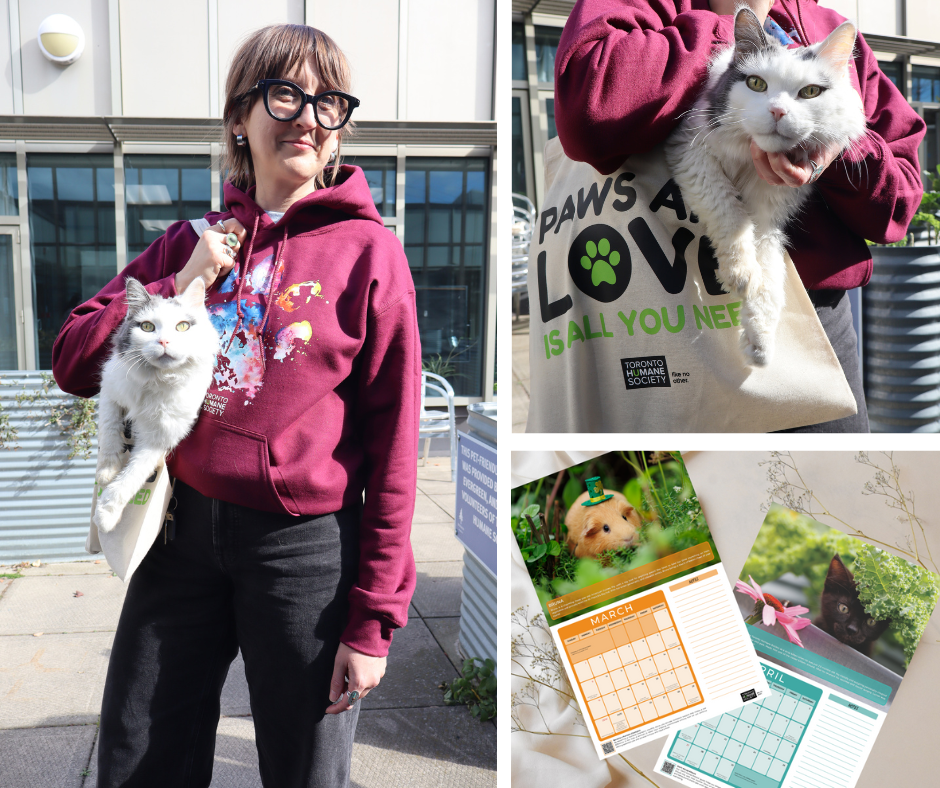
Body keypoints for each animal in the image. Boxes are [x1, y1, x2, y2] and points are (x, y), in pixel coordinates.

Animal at [96, 278, 219, 536]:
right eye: (147, 327)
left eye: (182, 326)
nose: (164, 342)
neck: (157, 379)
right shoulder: (109, 389)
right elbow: (109, 429)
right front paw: (106, 471)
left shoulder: (158, 439)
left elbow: (130, 479)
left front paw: (105, 515)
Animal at [668, 7, 868, 364]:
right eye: (756, 84)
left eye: (810, 92)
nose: (777, 111)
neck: (749, 161)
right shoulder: (691, 155)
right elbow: (730, 214)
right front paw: (739, 274)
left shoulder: (770, 208)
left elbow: (770, 269)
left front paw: (759, 340)